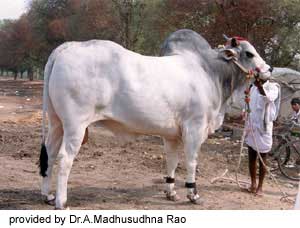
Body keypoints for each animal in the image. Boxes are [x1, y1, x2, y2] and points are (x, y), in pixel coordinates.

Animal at [39, 29, 272, 209]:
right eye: (249, 53)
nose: (269, 69)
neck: (209, 72)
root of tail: (69, 47)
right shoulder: (194, 128)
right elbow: (191, 161)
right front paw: (193, 194)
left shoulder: (172, 135)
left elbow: (172, 161)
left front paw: (171, 191)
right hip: (75, 126)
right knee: (64, 158)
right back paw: (61, 201)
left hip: (57, 122)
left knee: (50, 152)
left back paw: (47, 195)